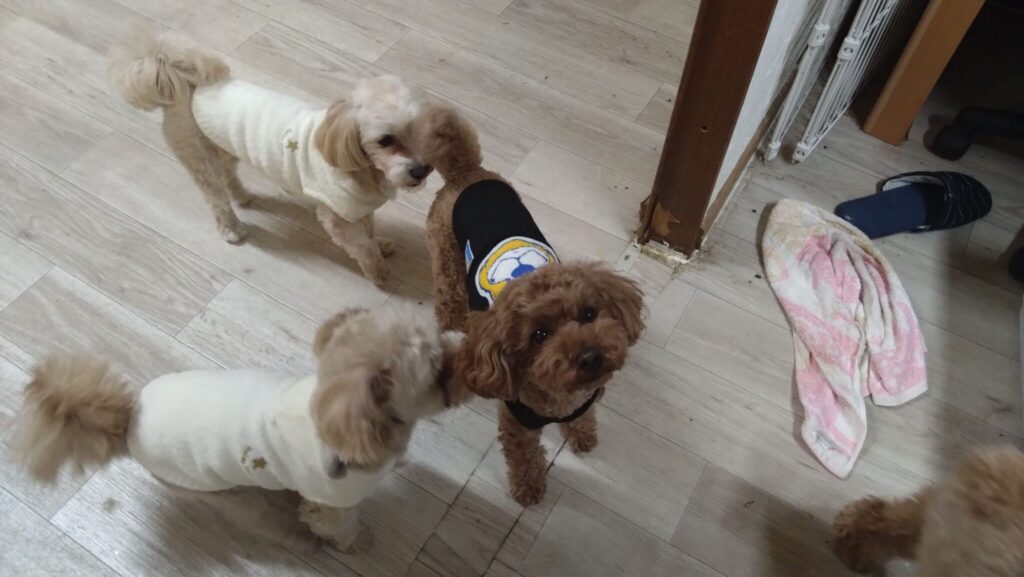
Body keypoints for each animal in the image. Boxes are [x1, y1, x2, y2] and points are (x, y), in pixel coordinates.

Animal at [12, 305, 469, 553]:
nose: (465, 357)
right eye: (438, 372)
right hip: (223, 493)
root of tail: (128, 422)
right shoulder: (334, 503)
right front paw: (357, 544)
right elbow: (340, 526)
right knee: (261, 519)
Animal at [108, 29, 433, 285]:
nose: (421, 170)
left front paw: (381, 245)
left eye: (421, 132)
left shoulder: (359, 209)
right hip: (200, 158)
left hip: (224, 148)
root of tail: (187, 88)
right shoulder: (338, 216)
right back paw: (232, 229)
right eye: (385, 140)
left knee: (229, 177)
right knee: (215, 198)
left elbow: (369, 232)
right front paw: (378, 270)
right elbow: (362, 245)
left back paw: (242, 197)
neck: (365, 169)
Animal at [411, 103, 645, 506]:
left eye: (588, 314)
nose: (590, 357)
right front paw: (529, 488)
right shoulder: (517, 424)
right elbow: (524, 457)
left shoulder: (584, 399)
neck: (560, 398)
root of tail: (466, 172)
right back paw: (451, 323)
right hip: (445, 255)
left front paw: (582, 436)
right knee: (447, 296)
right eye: (539, 335)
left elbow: (583, 418)